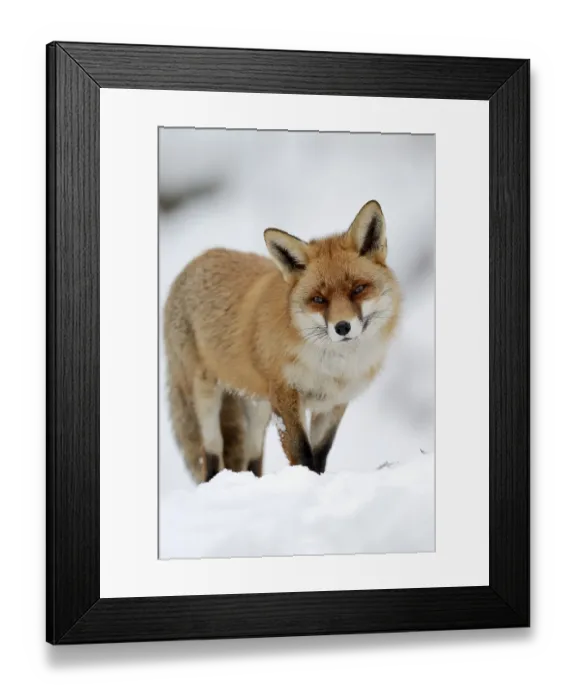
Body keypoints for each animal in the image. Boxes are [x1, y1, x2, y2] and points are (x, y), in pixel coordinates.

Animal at [163, 199, 401, 483]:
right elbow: (302, 453)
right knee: (210, 455)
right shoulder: (286, 396)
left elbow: (320, 454)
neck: (331, 367)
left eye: (358, 289)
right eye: (319, 299)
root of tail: (197, 259)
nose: (342, 327)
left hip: (258, 408)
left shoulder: (333, 404)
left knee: (252, 459)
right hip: (207, 397)